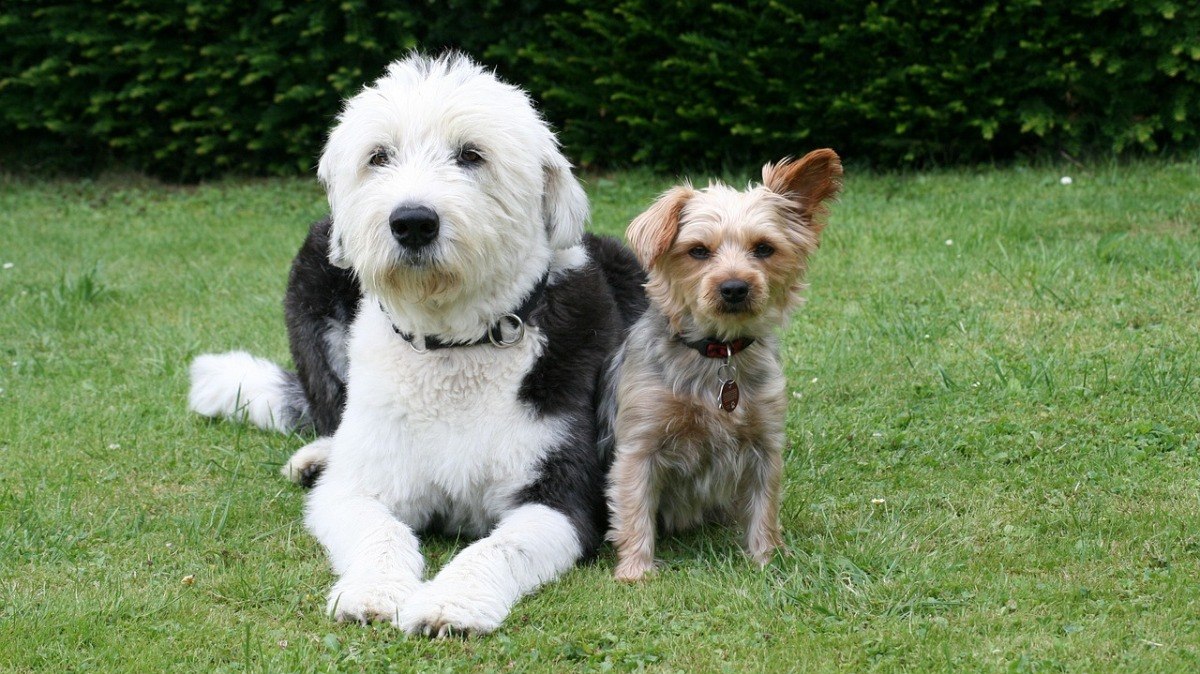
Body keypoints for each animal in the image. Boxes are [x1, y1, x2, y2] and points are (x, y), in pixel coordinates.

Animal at [189, 53, 648, 633]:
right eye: (378, 156)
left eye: (471, 154)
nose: (412, 222)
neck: (453, 345)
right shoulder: (357, 489)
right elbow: (378, 529)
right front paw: (373, 592)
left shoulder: (564, 497)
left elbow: (500, 548)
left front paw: (452, 603)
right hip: (315, 266)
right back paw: (317, 457)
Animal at [600, 149, 844, 580]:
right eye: (698, 250)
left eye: (763, 248)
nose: (734, 287)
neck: (719, 354)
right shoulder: (639, 445)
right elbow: (634, 508)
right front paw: (636, 572)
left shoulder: (765, 443)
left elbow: (764, 505)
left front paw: (767, 558)